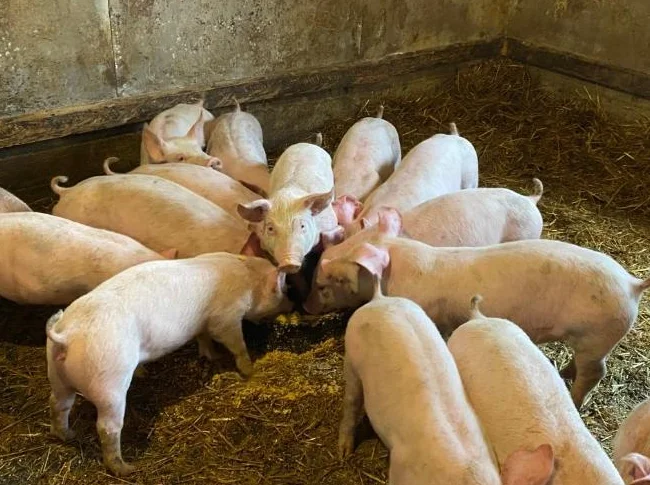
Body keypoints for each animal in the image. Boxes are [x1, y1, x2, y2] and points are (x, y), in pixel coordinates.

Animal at [46, 252, 292, 476]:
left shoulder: (202, 324)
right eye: (283, 289)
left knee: (58, 403)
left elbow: (203, 338)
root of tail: (68, 335)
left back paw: (68, 435)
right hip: (108, 380)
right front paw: (250, 370)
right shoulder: (225, 318)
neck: (248, 278)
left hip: (56, 374)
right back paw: (126, 468)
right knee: (107, 427)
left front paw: (212, 357)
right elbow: (236, 344)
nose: (290, 306)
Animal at [304, 211, 650, 408]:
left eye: (327, 282)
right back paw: (564, 372)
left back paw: (576, 400)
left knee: (596, 372)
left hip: (597, 335)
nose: (306, 307)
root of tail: (631, 283)